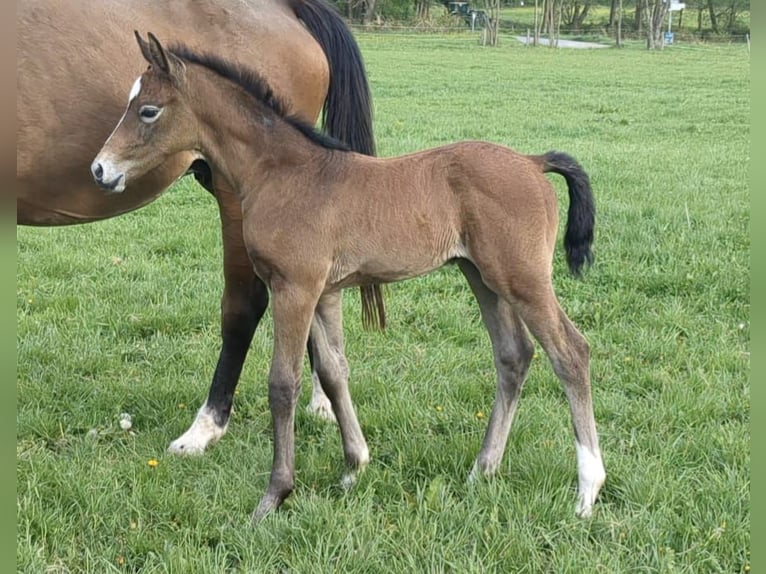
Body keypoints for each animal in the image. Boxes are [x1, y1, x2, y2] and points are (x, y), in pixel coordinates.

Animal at [16, 0, 384, 455]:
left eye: (149, 110)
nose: (99, 169)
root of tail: (290, 8)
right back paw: (325, 402)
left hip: (235, 197)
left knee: (245, 305)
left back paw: (207, 426)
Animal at [91, 32, 607, 521]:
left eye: (148, 110)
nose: (99, 169)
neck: (283, 173)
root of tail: (532, 162)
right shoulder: (321, 292)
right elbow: (334, 371)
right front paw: (354, 467)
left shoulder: (294, 288)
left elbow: (284, 384)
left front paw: (274, 496)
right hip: (482, 276)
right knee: (514, 355)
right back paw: (483, 470)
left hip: (523, 278)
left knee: (570, 352)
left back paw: (587, 491)